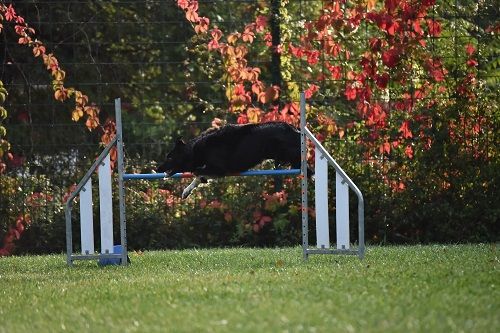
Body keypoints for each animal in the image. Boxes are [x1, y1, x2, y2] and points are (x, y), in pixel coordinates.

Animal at [157, 121, 304, 197]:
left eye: (169, 157)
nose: (157, 168)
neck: (195, 150)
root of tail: (296, 129)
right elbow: (198, 176)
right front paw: (187, 190)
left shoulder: (220, 168)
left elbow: (198, 172)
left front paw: (200, 180)